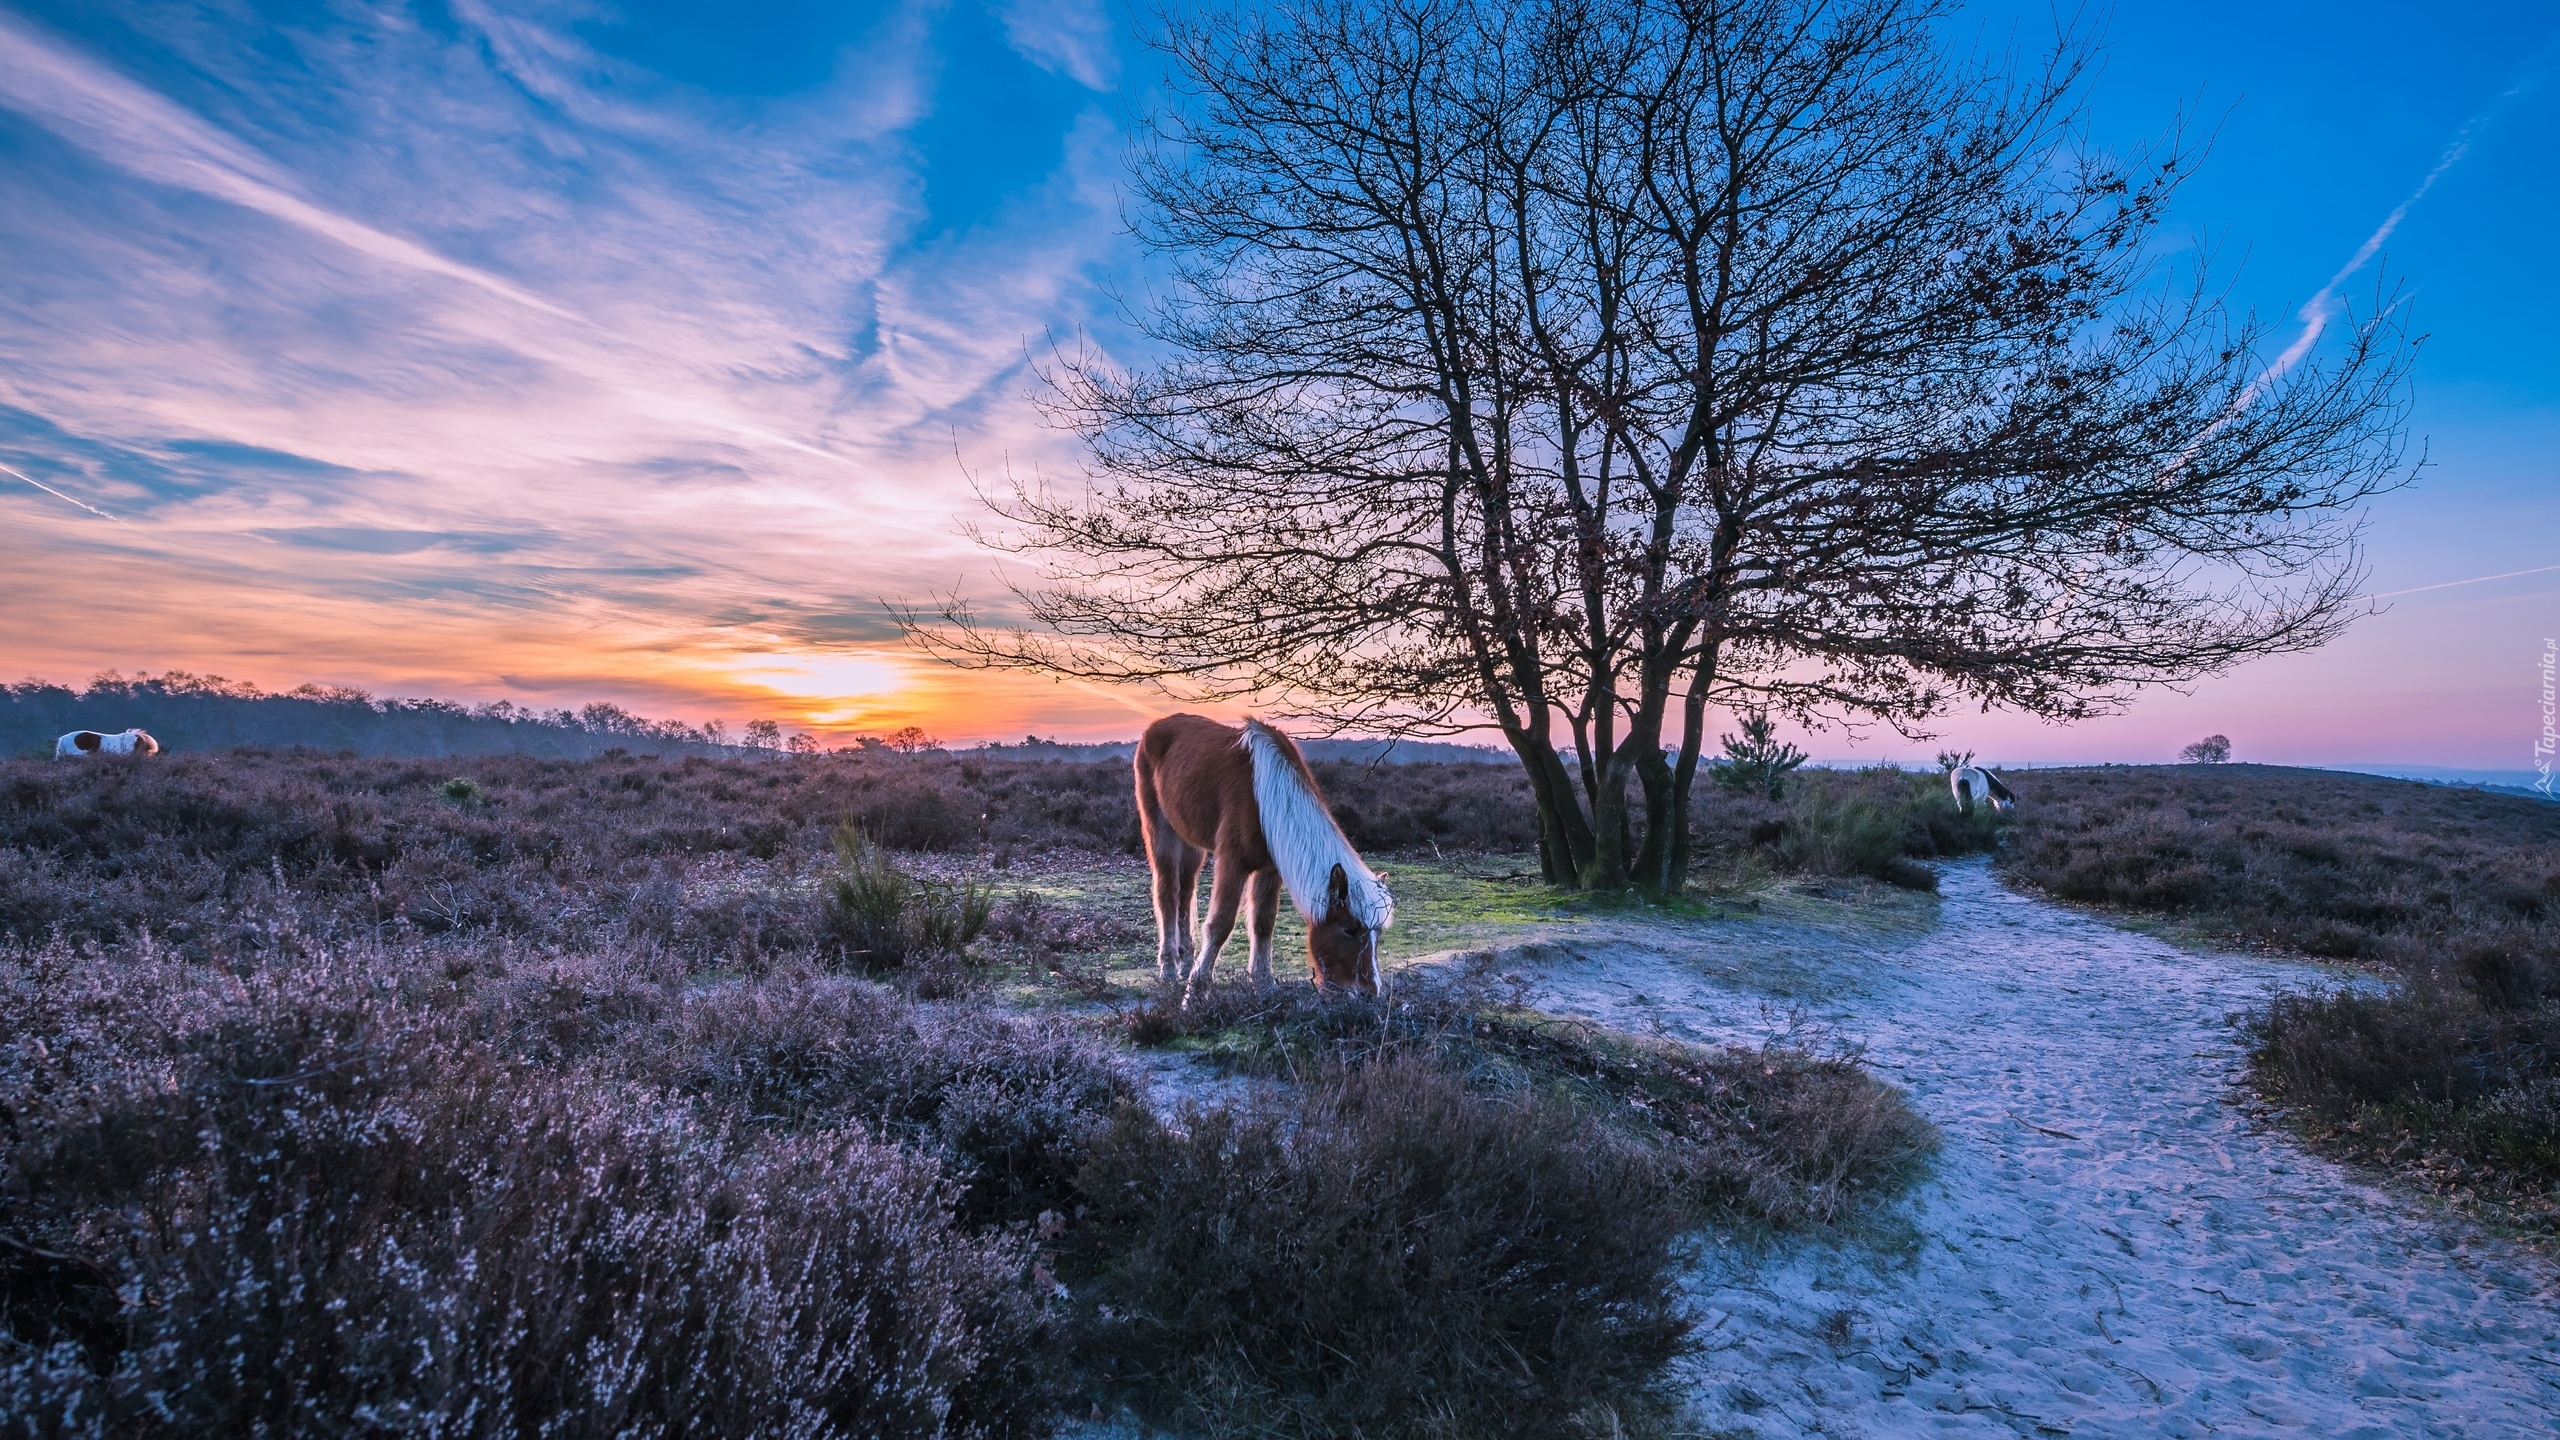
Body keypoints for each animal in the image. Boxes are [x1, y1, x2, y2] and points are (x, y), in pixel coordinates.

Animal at [1131, 707, 1392, 999]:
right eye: (1349, 930)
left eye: (1378, 934)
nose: (1370, 993)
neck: (1267, 797)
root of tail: (1156, 727)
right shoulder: (1233, 863)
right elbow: (1220, 923)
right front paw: (1196, 991)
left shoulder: (1270, 869)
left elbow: (1263, 922)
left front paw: (1264, 984)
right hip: (1161, 832)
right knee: (1167, 894)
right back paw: (1169, 970)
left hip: (1191, 843)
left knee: (1185, 894)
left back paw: (1186, 962)